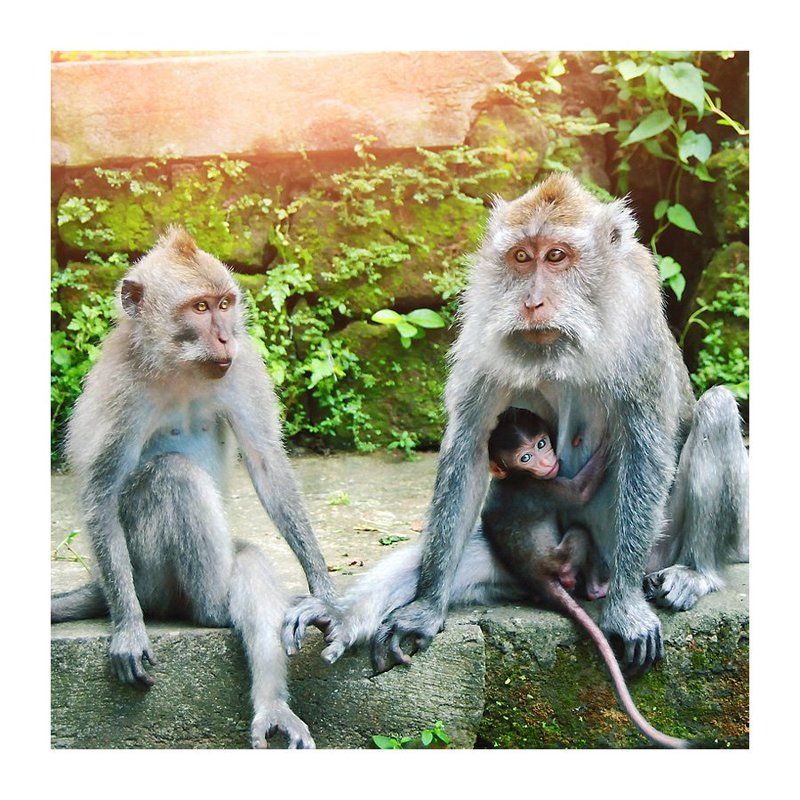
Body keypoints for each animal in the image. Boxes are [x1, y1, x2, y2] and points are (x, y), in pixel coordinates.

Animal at [50, 227, 340, 749]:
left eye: (225, 303)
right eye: (199, 308)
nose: (225, 335)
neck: (179, 366)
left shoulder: (243, 365)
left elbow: (266, 463)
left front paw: (323, 594)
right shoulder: (123, 389)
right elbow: (101, 491)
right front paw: (129, 628)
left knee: (247, 559)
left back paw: (272, 704)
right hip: (145, 578)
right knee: (173, 476)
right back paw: (211, 610)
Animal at [284, 172, 749, 677]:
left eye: (557, 256)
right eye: (522, 257)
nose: (532, 302)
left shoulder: (637, 323)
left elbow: (645, 447)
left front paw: (627, 609)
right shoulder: (483, 324)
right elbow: (468, 447)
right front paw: (424, 609)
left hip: (659, 546)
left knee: (717, 409)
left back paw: (694, 572)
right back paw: (346, 613)